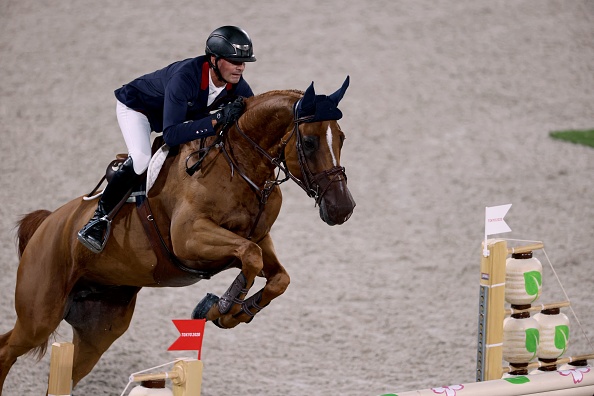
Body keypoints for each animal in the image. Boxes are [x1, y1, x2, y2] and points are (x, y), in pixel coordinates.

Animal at [0, 76, 352, 392]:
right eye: (309, 142)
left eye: (342, 138)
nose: (342, 209)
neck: (240, 165)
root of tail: (47, 223)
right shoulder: (190, 240)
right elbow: (249, 258)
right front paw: (220, 307)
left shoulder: (259, 239)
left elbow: (278, 277)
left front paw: (234, 311)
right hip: (40, 315)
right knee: (8, 350)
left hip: (97, 330)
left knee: (68, 371)